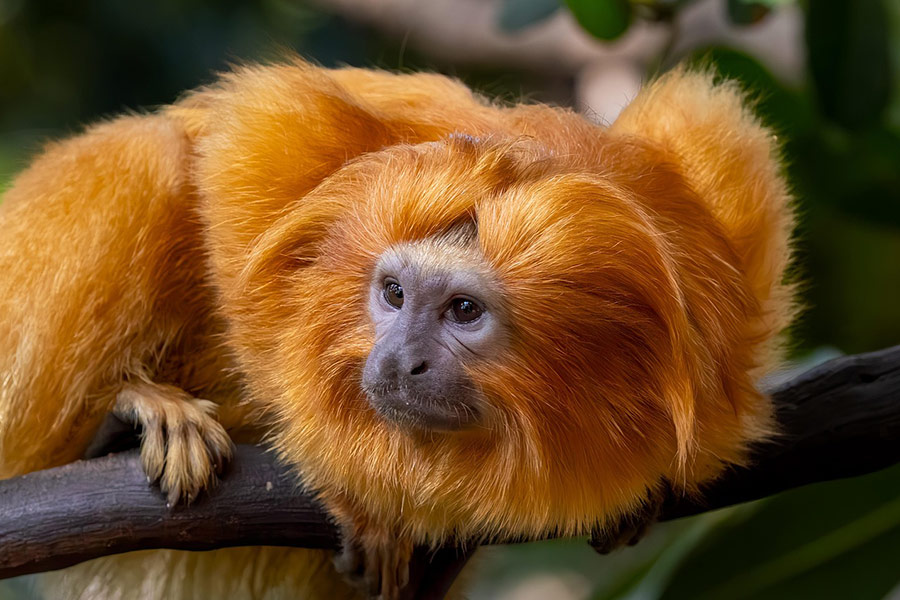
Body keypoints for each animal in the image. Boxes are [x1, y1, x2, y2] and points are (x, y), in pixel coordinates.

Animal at [0, 57, 794, 599]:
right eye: (392, 294)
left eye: (464, 312)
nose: (400, 361)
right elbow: (244, 146)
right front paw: (358, 495)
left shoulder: (716, 286)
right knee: (151, 152)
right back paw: (126, 415)